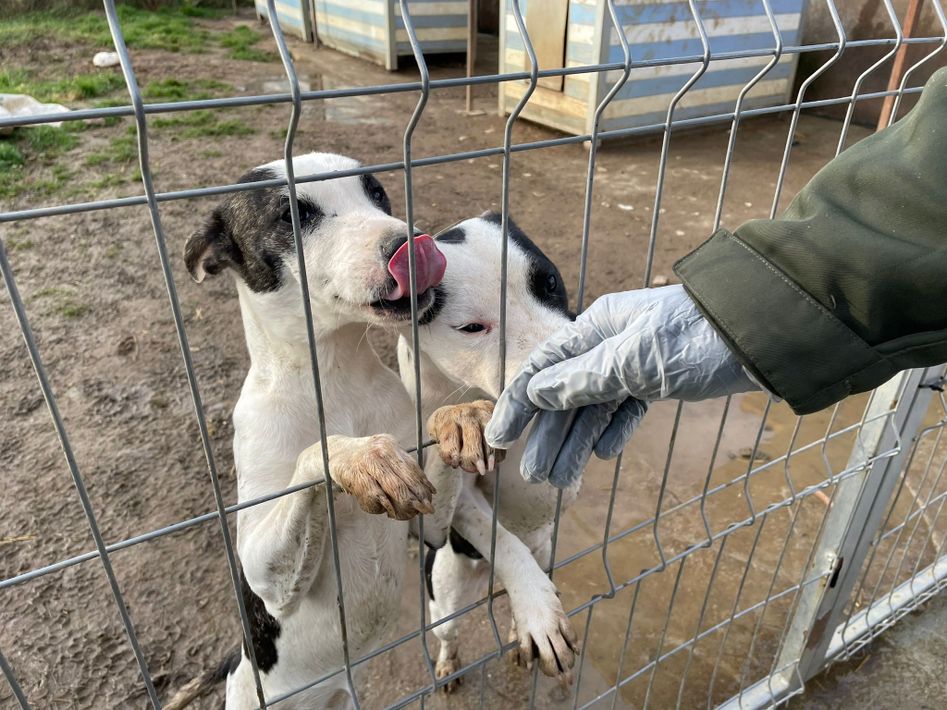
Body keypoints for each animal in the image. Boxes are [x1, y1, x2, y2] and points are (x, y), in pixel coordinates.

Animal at [170, 153, 494, 709]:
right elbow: (316, 455)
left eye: (378, 193)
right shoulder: (263, 576)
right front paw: (362, 459)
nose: (412, 241)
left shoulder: (428, 528)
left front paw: (460, 418)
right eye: (293, 215)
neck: (335, 379)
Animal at [398, 213, 582, 690]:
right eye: (471, 328)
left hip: (544, 553)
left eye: (549, 281)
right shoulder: (443, 512)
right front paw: (537, 612)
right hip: (445, 598)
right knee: (449, 634)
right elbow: (499, 535)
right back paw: (450, 664)